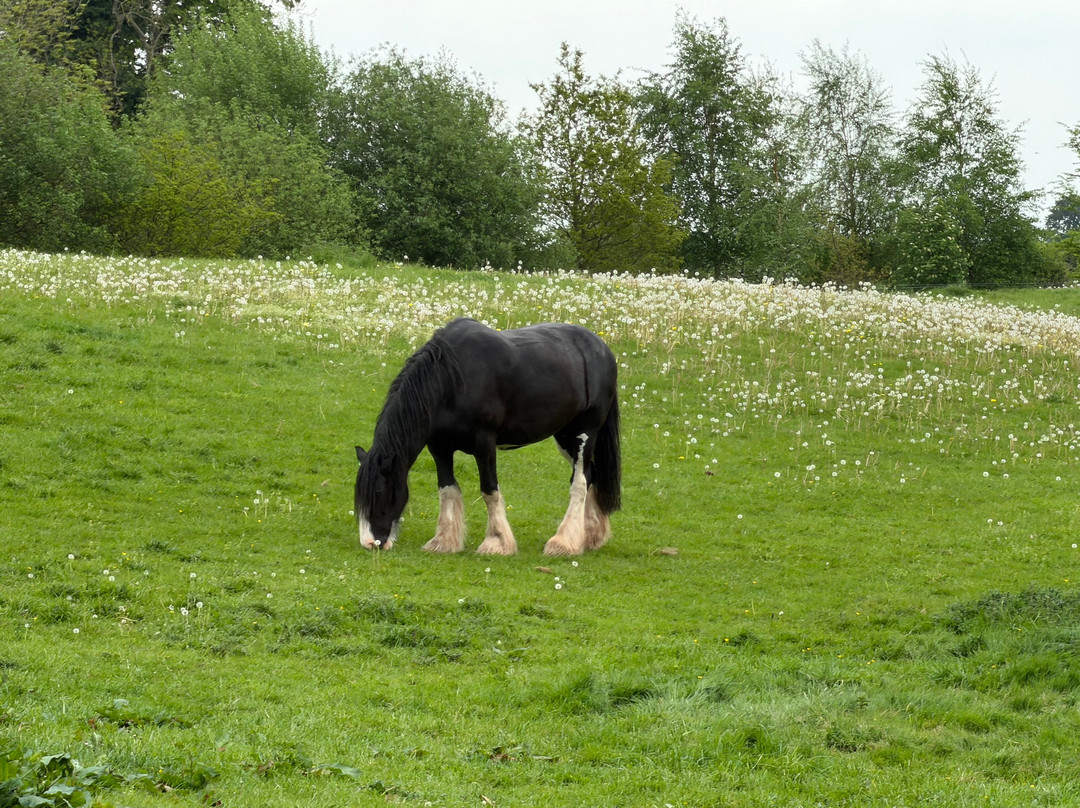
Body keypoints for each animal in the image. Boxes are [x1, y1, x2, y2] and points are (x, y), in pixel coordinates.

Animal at [354, 317, 621, 556]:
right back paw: (590, 536)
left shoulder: (484, 445)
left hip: (584, 433)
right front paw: (444, 541)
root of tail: (602, 349)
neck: (451, 379)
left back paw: (564, 543)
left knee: (580, 482)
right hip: (564, 437)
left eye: (379, 493)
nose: (370, 543)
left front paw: (497, 543)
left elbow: (489, 491)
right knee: (590, 473)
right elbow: (447, 489)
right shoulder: (440, 448)